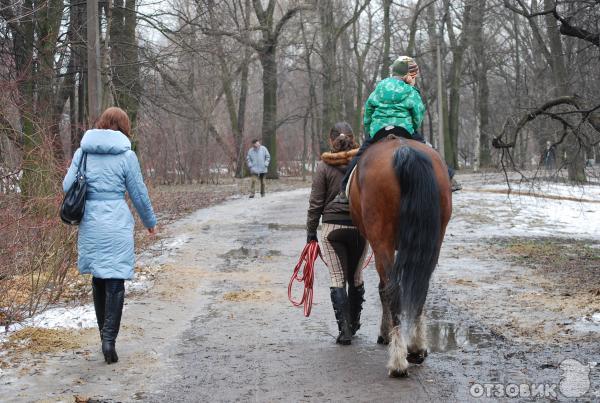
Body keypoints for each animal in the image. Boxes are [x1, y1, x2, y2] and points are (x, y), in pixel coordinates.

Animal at [346, 137, 450, 378]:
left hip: (381, 239)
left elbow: (383, 288)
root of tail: (404, 150)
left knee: (393, 290)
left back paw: (397, 361)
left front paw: (384, 334)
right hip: (434, 240)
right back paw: (416, 348)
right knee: (421, 286)